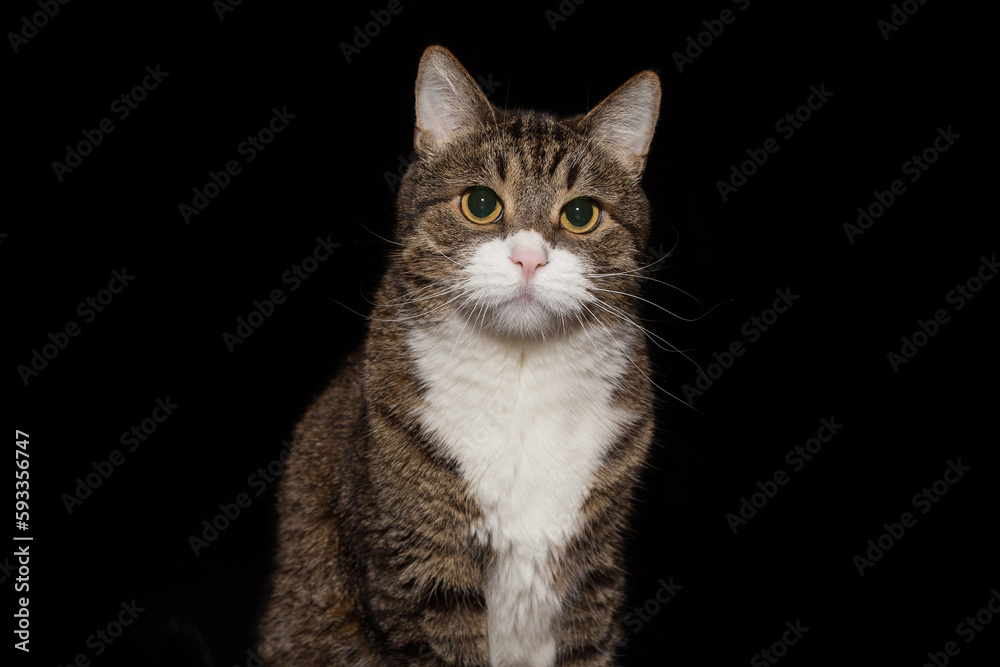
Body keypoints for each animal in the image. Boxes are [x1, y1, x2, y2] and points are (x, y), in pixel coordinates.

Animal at [262, 44, 660, 664]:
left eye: (581, 214)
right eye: (480, 203)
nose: (529, 258)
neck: (521, 379)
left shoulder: (595, 574)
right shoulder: (417, 567)